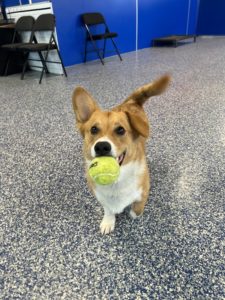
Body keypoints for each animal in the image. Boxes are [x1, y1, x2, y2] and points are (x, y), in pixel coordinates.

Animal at [73, 74, 170, 234]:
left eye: (120, 130)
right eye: (93, 129)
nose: (102, 146)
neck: (116, 182)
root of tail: (130, 102)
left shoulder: (143, 193)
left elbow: (137, 207)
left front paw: (133, 214)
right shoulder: (101, 197)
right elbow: (108, 209)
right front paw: (108, 221)